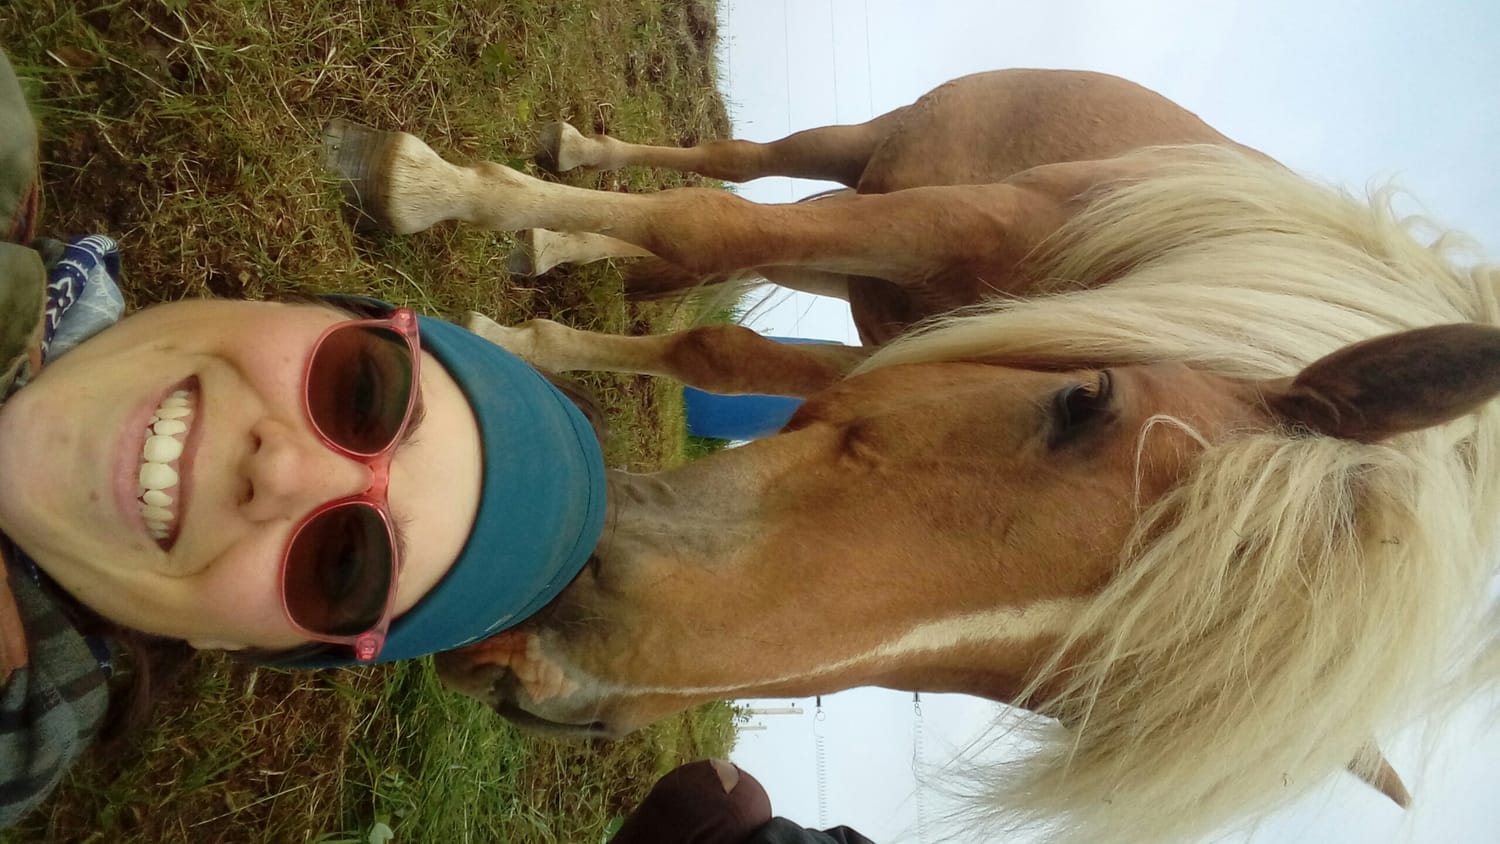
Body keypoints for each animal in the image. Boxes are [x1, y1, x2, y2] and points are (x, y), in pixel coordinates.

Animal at [321, 69, 1500, 842]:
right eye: (1084, 401)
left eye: (1061, 699)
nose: (556, 665)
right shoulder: (953, 222)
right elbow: (708, 230)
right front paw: (422, 185)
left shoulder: (896, 345)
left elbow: (721, 345)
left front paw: (530, 334)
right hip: (869, 152)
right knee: (733, 173)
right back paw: (548, 172)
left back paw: (560, 244)